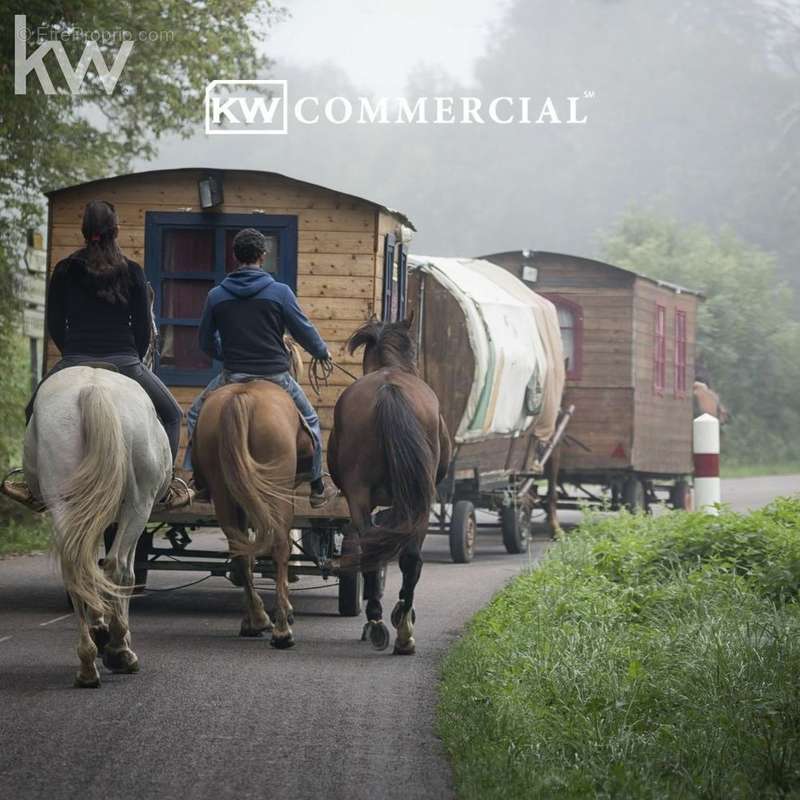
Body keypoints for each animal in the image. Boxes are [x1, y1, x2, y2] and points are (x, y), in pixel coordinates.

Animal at [24, 366, 170, 684]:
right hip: (138, 505)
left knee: (76, 568)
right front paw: (113, 638)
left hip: (64, 502)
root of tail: (94, 389)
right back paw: (119, 651)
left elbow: (92, 566)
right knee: (119, 569)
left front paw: (99, 628)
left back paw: (88, 662)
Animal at [194, 378, 316, 648]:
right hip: (276, 491)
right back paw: (281, 631)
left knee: (239, 549)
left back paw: (258, 620)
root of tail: (243, 398)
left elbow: (248, 555)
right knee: (279, 546)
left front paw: (249, 619)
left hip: (224, 491)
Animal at [324, 316, 450, 652]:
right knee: (407, 558)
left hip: (363, 497)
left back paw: (380, 622)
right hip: (417, 500)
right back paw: (400, 627)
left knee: (377, 548)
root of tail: (389, 389)